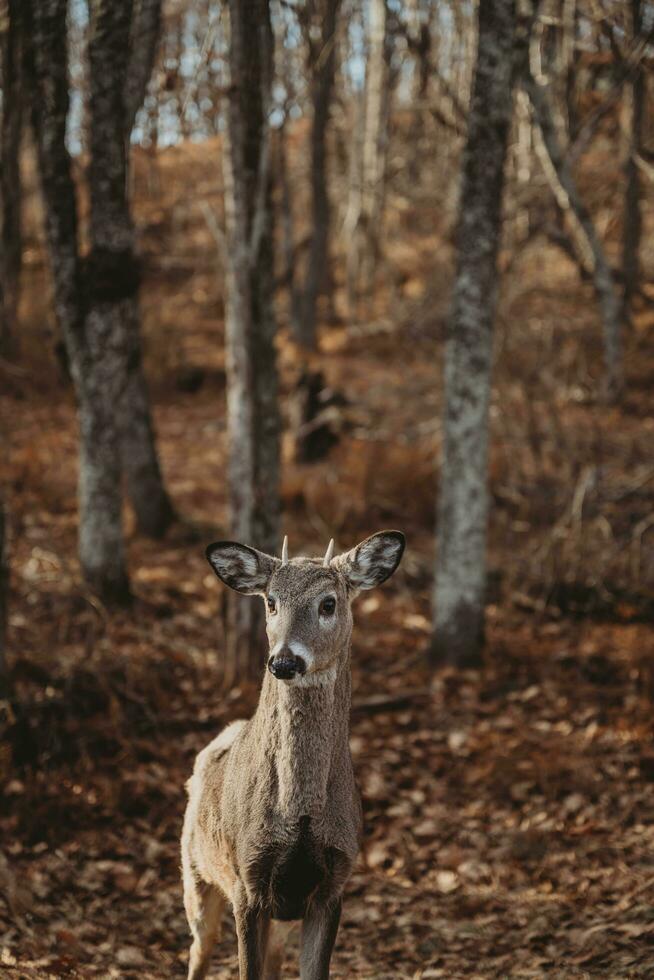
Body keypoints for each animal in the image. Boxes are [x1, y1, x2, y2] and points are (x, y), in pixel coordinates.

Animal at [181, 532, 404, 976]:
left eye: (328, 603)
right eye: (270, 601)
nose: (283, 661)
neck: (301, 814)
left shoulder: (333, 885)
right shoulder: (246, 880)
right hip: (196, 872)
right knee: (197, 952)